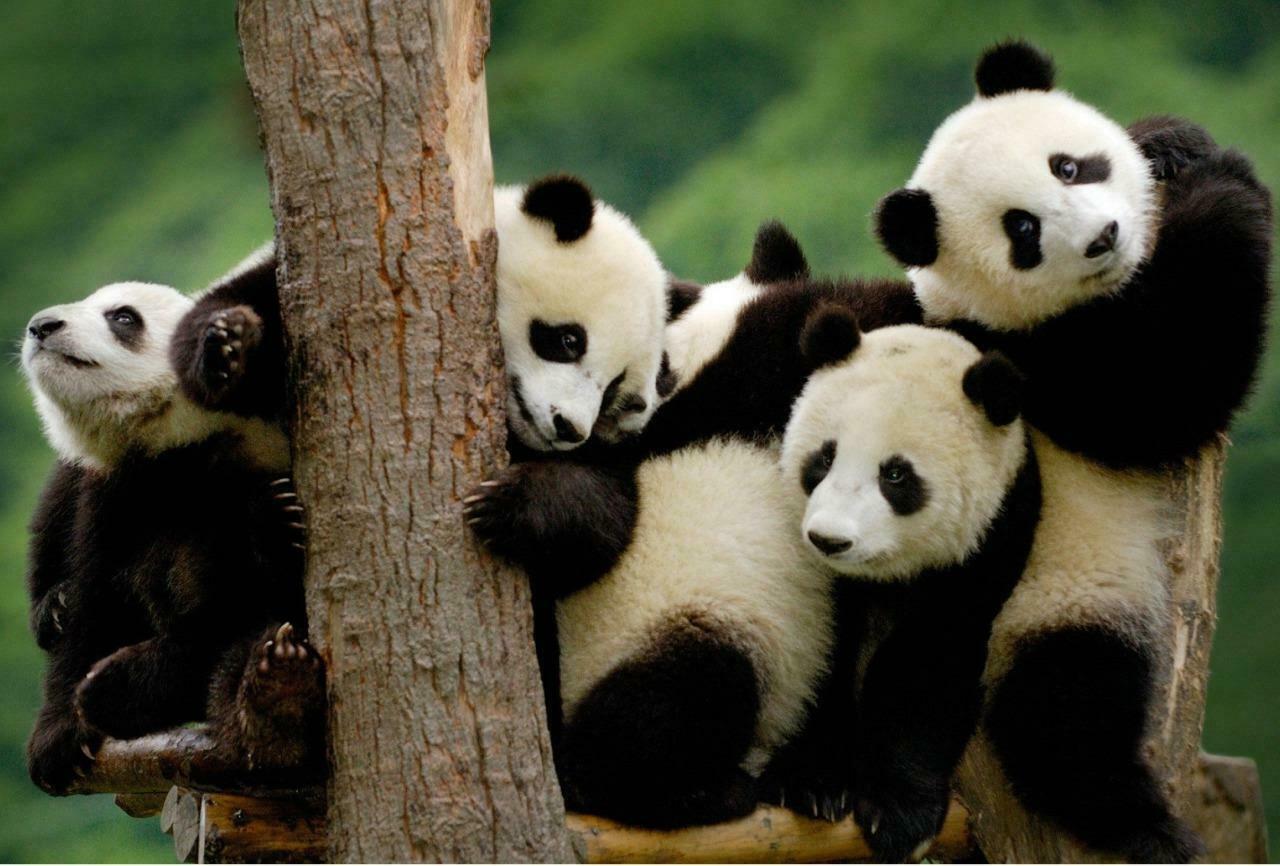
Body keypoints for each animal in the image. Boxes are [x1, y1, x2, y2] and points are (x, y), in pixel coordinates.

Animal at [21, 271, 321, 794]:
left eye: (123, 317)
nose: (42, 326)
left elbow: (227, 611)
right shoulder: (115, 493)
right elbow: (94, 601)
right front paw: (58, 738)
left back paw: (275, 702)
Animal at [776, 317, 1039, 861]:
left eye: (895, 474)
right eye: (823, 458)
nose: (829, 539)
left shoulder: (990, 539)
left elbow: (929, 664)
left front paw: (897, 814)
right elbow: (823, 644)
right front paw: (815, 782)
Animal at [872, 40, 1272, 861]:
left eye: (1067, 166)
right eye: (1021, 231)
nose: (1103, 237)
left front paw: (1174, 142)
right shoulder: (1030, 363)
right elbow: (1165, 390)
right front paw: (1228, 184)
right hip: (1049, 599)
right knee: (1063, 712)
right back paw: (1143, 823)